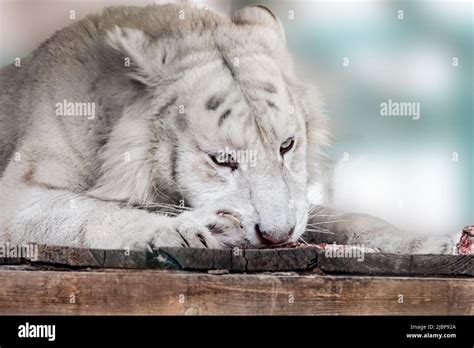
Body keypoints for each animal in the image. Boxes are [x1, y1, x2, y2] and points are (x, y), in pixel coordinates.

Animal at [0, 2, 454, 253]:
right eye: (222, 159)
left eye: (287, 145)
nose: (277, 237)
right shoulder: (17, 196)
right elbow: (90, 213)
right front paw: (189, 231)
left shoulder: (300, 204)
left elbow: (350, 218)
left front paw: (433, 242)